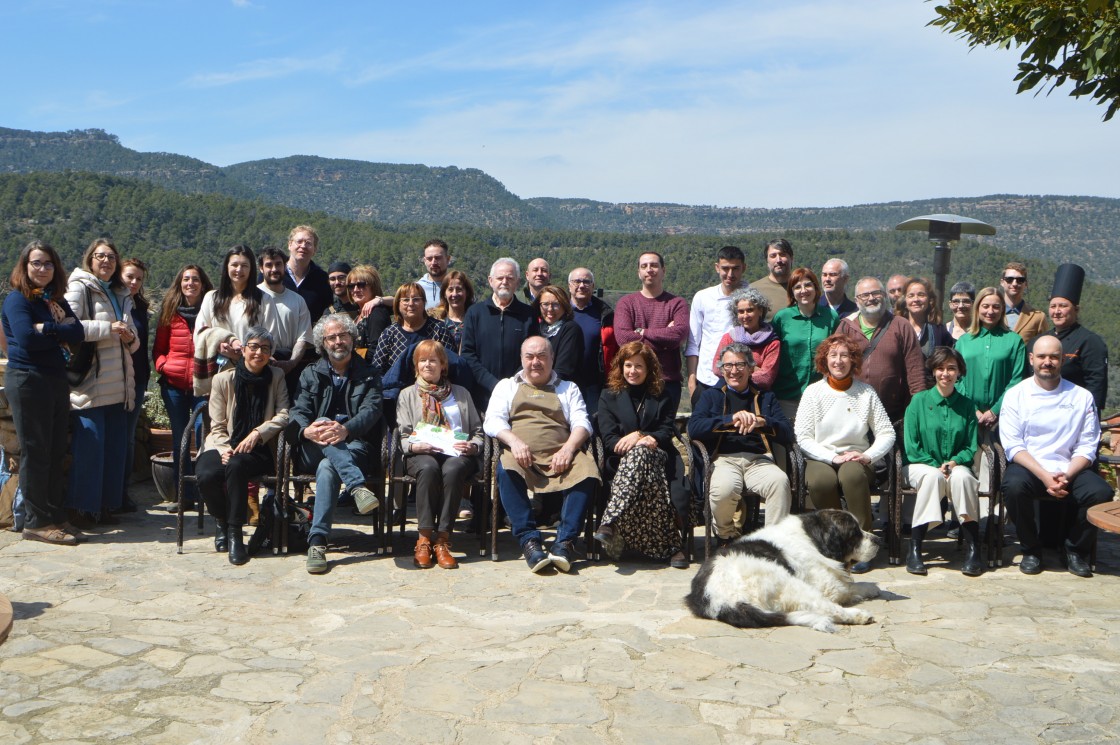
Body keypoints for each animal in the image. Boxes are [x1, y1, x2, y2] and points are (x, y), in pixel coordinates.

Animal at [685, 508, 878, 631]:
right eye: (855, 533)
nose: (878, 539)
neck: (813, 537)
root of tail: (718, 601)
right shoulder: (829, 586)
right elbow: (849, 587)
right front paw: (872, 587)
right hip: (792, 584)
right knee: (827, 608)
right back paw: (860, 615)